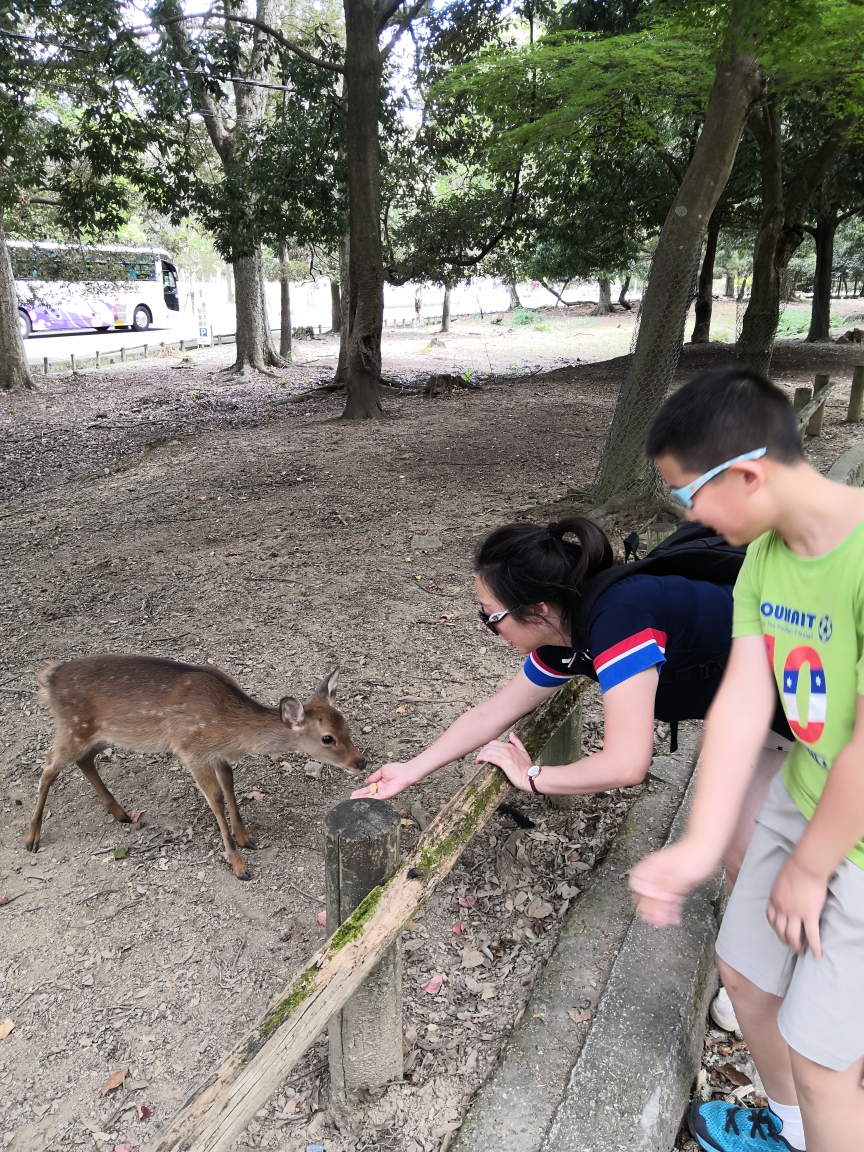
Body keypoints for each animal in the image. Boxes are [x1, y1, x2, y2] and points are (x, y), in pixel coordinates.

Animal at [27, 658, 366, 880]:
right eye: (327, 738)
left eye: (347, 726)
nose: (360, 762)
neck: (229, 731)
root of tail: (47, 679)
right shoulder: (191, 749)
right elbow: (214, 797)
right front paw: (238, 865)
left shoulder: (217, 755)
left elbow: (230, 786)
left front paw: (246, 838)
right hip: (73, 729)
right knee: (48, 764)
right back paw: (32, 839)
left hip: (103, 735)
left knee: (83, 760)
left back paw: (120, 813)